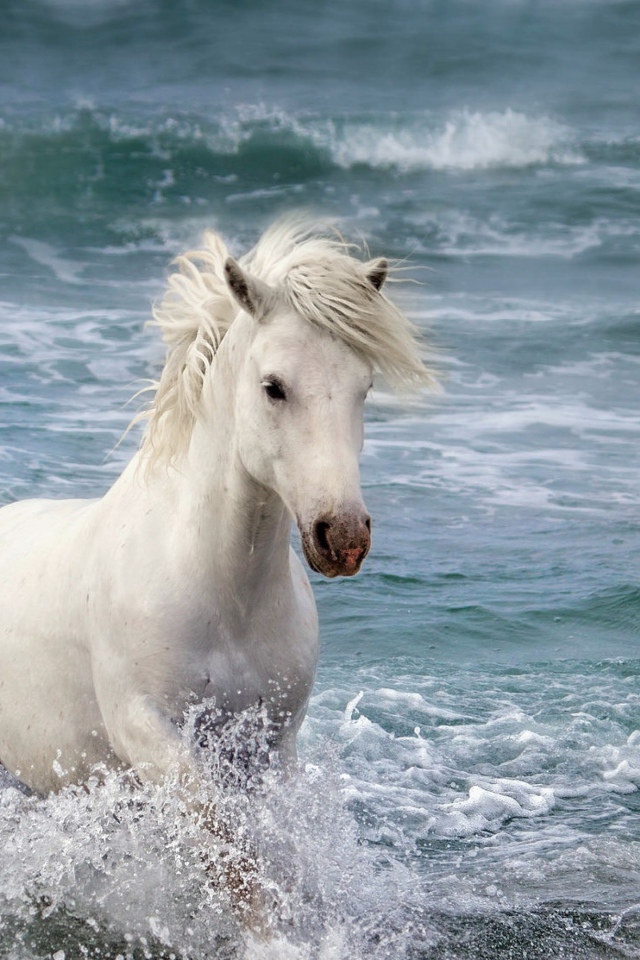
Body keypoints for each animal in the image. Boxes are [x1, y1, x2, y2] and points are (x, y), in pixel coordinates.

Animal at [0, 218, 430, 916]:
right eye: (274, 386)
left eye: (364, 388)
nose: (342, 536)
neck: (224, 596)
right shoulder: (148, 733)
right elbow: (228, 853)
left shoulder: (271, 744)